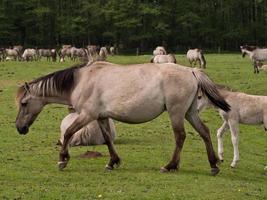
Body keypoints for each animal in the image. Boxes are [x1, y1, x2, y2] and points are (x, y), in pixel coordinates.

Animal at [15, 61, 231, 175]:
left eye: (24, 103)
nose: (19, 128)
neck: (82, 80)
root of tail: (191, 71)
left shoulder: (86, 115)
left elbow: (68, 133)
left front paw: (62, 160)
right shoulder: (101, 117)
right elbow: (108, 140)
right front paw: (113, 162)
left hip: (176, 113)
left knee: (180, 137)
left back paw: (170, 165)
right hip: (189, 113)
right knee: (204, 132)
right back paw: (213, 165)